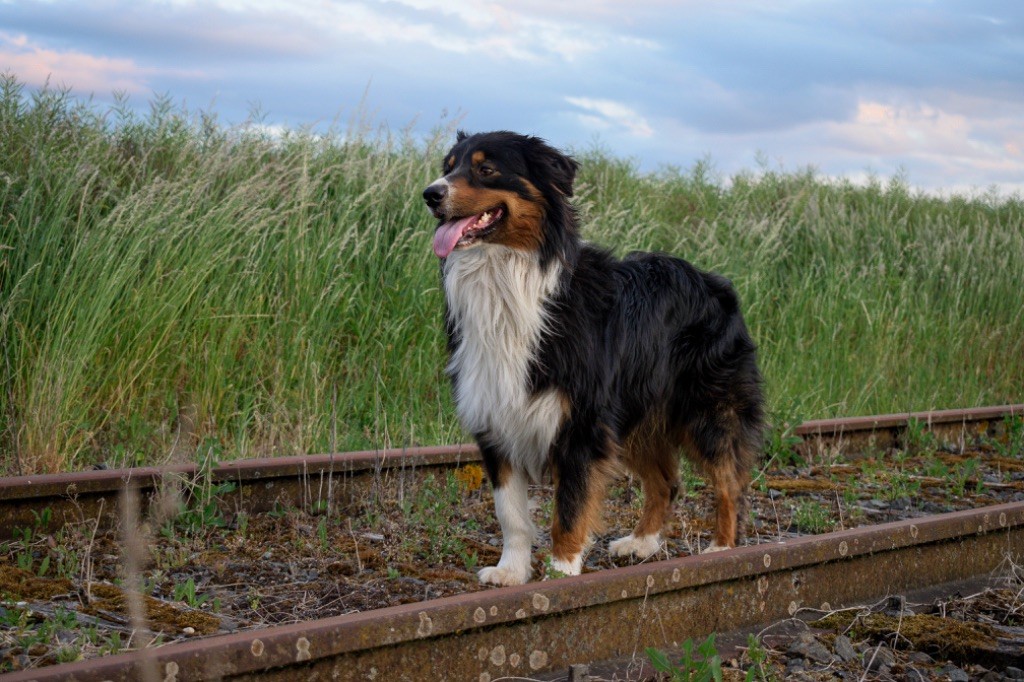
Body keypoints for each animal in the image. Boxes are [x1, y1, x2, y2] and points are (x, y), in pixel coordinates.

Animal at [419, 130, 765, 581]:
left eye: (486, 169)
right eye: (448, 167)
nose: (430, 194)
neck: (507, 277)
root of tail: (714, 281)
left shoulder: (581, 423)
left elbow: (569, 507)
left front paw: (561, 572)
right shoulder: (495, 416)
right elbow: (510, 512)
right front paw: (511, 572)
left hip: (706, 410)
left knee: (729, 482)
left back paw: (722, 549)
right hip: (632, 417)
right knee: (666, 481)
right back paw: (642, 543)